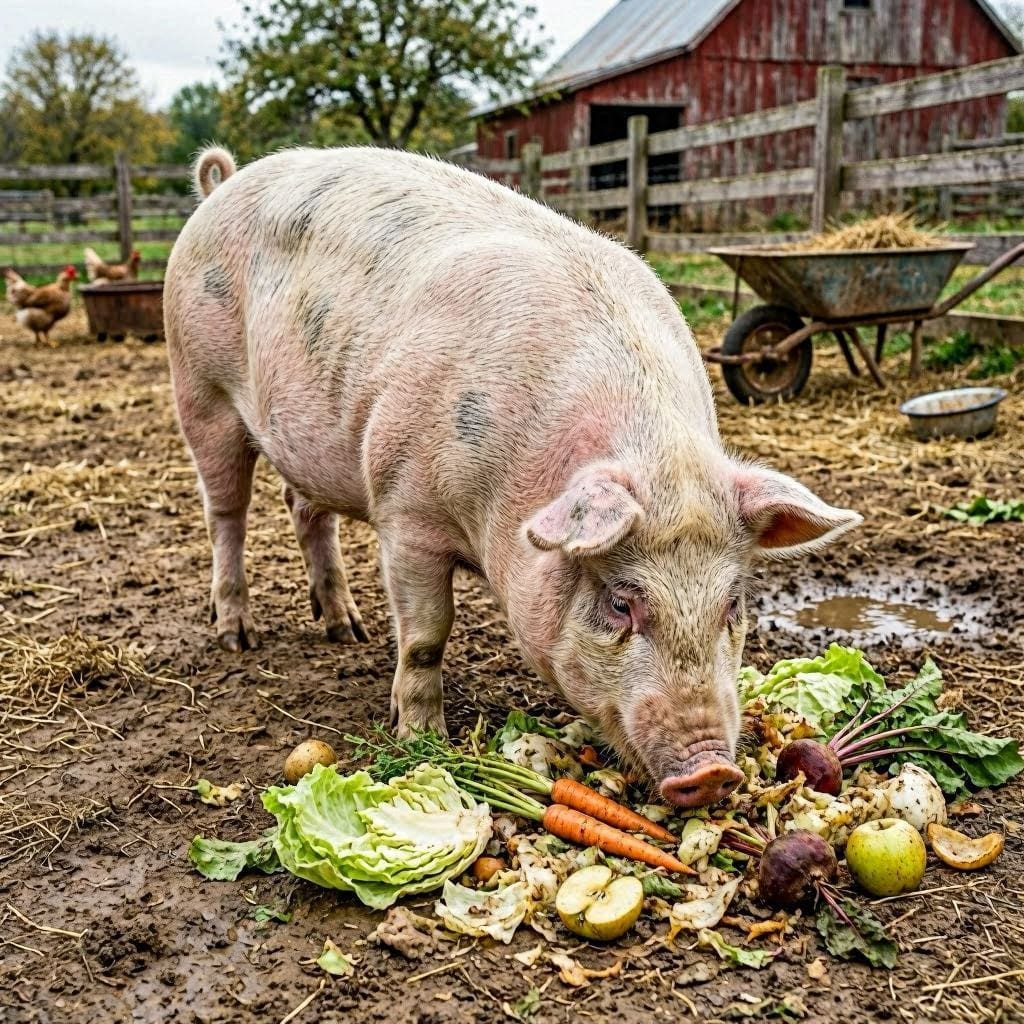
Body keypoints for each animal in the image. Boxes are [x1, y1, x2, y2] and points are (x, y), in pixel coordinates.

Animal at [165, 145, 861, 808]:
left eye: (733, 603)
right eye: (621, 603)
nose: (714, 770)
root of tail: (221, 185)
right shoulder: (405, 511)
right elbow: (426, 636)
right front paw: (422, 742)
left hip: (305, 442)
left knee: (304, 510)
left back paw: (346, 628)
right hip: (199, 389)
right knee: (225, 512)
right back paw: (237, 636)